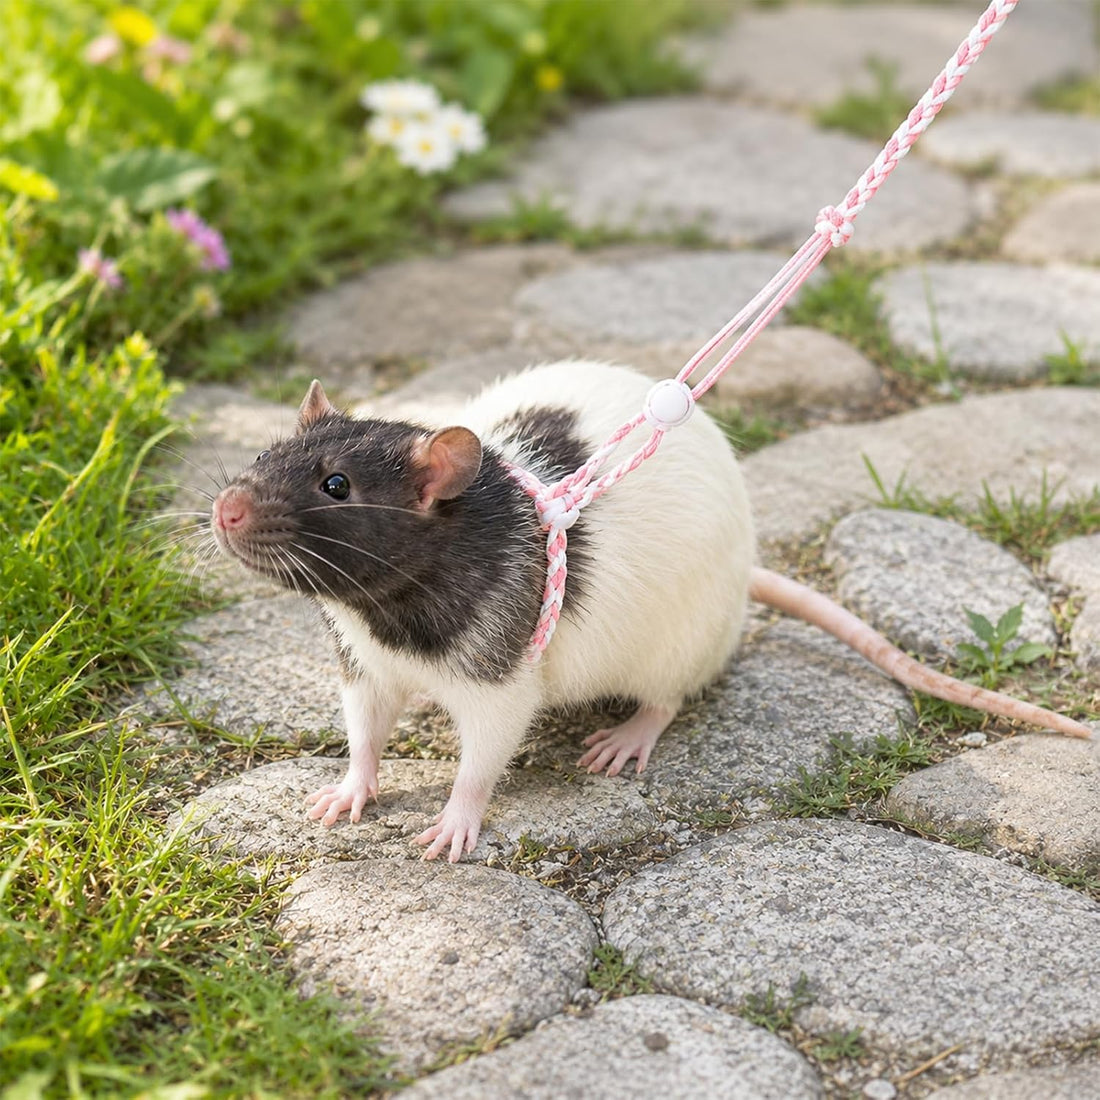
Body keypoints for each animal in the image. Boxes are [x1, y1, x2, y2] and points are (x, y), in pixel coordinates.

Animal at [211, 361, 1093, 862]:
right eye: (263, 455)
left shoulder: (500, 679)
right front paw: (349, 789)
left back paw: (631, 734)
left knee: (669, 696)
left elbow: (484, 754)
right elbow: (363, 727)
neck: (388, 610)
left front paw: (458, 820)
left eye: (336, 486)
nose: (223, 509)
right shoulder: (361, 663)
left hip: (681, 645)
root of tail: (745, 573)